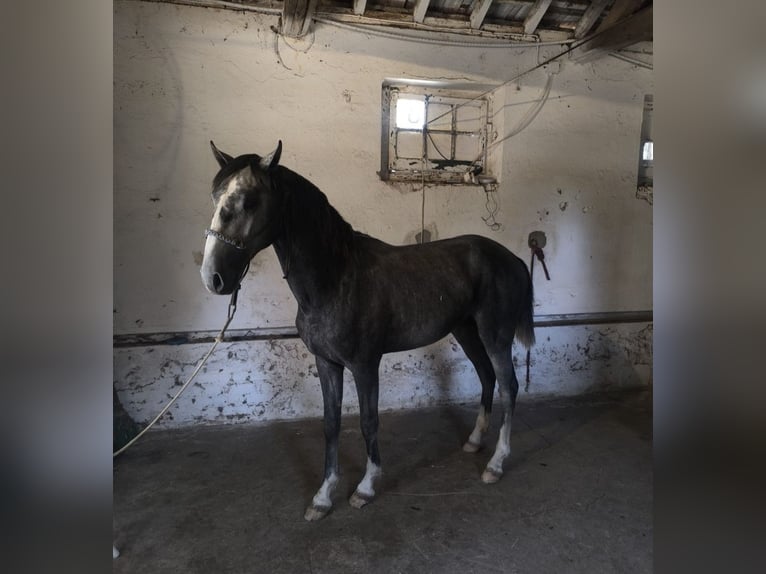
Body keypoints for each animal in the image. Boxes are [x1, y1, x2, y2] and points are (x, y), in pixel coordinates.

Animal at [200, 141, 535, 521]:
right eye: (215, 197)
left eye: (250, 200)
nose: (213, 277)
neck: (336, 278)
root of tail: (512, 259)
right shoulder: (327, 363)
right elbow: (331, 424)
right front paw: (323, 496)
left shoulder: (364, 365)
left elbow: (368, 421)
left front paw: (365, 487)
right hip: (466, 332)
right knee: (487, 378)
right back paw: (474, 442)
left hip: (496, 335)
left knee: (508, 386)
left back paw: (496, 464)